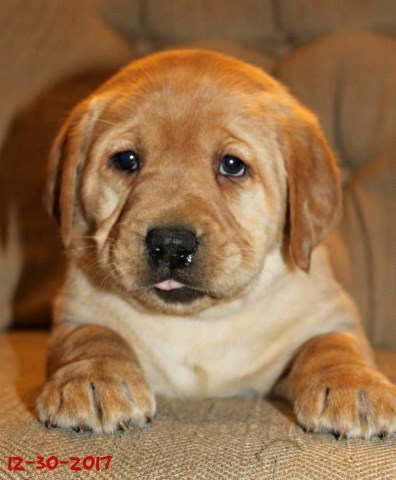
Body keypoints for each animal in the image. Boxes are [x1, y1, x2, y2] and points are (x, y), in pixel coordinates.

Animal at [37, 49, 396, 438]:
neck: (201, 323)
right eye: (126, 160)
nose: (171, 245)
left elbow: (334, 345)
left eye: (232, 165)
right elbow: (92, 335)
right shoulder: (75, 312)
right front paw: (92, 377)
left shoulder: (331, 315)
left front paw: (354, 385)